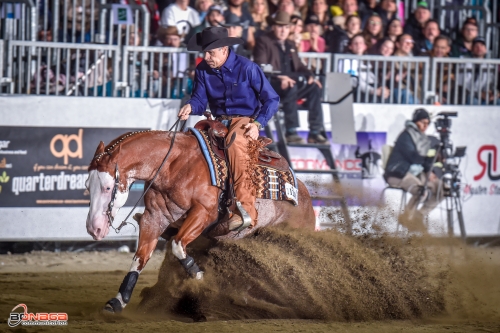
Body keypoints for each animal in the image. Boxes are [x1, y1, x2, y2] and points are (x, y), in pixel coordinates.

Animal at [84, 129, 314, 312]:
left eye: (107, 187)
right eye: (87, 186)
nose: (94, 228)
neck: (174, 165)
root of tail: (304, 195)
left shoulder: (203, 213)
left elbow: (178, 245)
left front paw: (199, 276)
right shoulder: (153, 217)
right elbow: (140, 258)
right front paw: (117, 301)